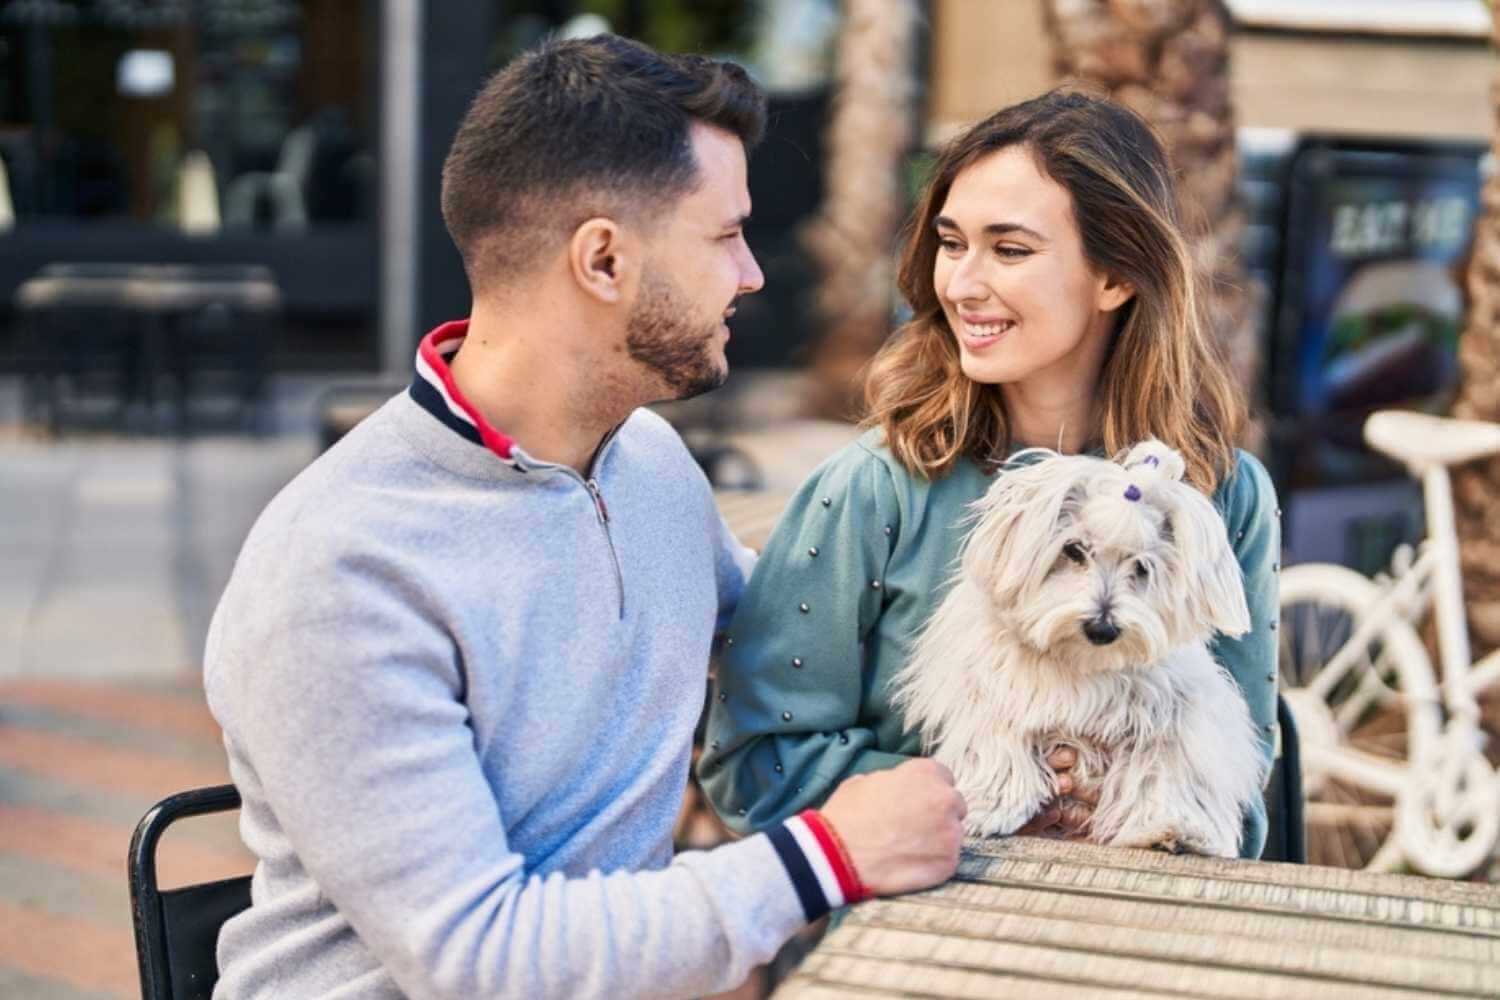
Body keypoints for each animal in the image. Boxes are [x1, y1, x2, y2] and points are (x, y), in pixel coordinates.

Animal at [894, 440, 1272, 857]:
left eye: (1142, 567)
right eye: (1074, 550)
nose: (1102, 627)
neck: (1080, 661)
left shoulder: (1177, 710)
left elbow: (1166, 766)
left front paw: (1171, 826)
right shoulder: (987, 684)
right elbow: (997, 737)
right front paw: (988, 805)